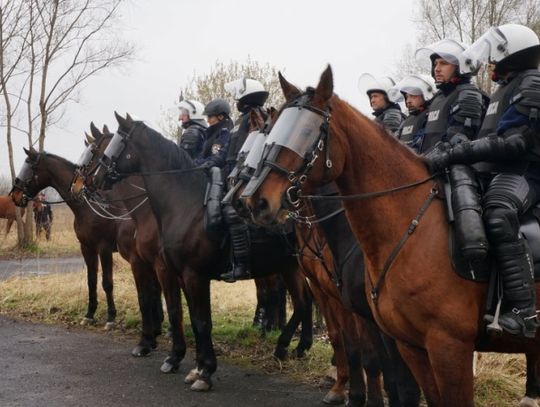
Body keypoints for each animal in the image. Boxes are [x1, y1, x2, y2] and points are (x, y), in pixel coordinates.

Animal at [84, 115, 312, 392]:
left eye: (115, 143)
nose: (93, 181)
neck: (184, 205)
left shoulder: (190, 275)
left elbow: (200, 321)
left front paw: (203, 371)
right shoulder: (177, 273)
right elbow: (187, 316)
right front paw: (189, 363)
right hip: (291, 267)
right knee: (304, 302)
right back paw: (291, 347)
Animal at [244, 65, 540, 406]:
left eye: (307, 131)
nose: (253, 200)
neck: (411, 228)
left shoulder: (448, 347)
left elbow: (378, 366)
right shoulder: (403, 340)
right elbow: (373, 363)